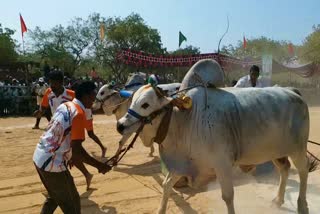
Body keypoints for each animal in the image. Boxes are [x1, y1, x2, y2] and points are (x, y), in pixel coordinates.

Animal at [117, 83, 310, 213]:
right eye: (132, 102)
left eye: (145, 104)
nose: (120, 125)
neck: (186, 119)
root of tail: (292, 91)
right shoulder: (182, 164)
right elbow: (166, 185)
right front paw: (160, 210)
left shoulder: (222, 164)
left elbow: (228, 196)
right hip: (277, 152)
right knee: (285, 169)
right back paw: (278, 200)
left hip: (298, 149)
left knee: (303, 171)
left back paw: (302, 205)